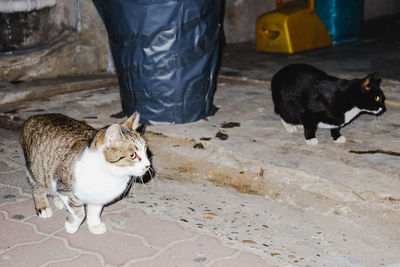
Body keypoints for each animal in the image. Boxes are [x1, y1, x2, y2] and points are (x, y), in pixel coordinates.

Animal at [19, 113, 150, 234]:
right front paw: (71, 226)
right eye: (132, 155)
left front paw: (94, 225)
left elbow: (95, 211)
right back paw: (43, 206)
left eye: (145, 149)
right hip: (36, 170)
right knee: (36, 186)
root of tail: (34, 117)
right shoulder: (65, 187)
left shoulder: (98, 197)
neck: (110, 175)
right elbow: (79, 213)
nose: (148, 165)